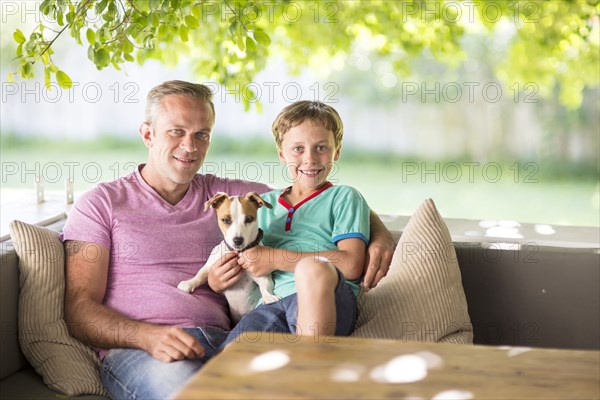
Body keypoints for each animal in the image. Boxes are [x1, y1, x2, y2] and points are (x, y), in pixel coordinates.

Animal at [178, 191, 282, 324]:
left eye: (249, 219)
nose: (237, 240)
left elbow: (265, 287)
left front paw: (268, 297)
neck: (237, 253)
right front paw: (189, 283)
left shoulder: (261, 274)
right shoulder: (210, 266)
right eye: (226, 220)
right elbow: (200, 274)